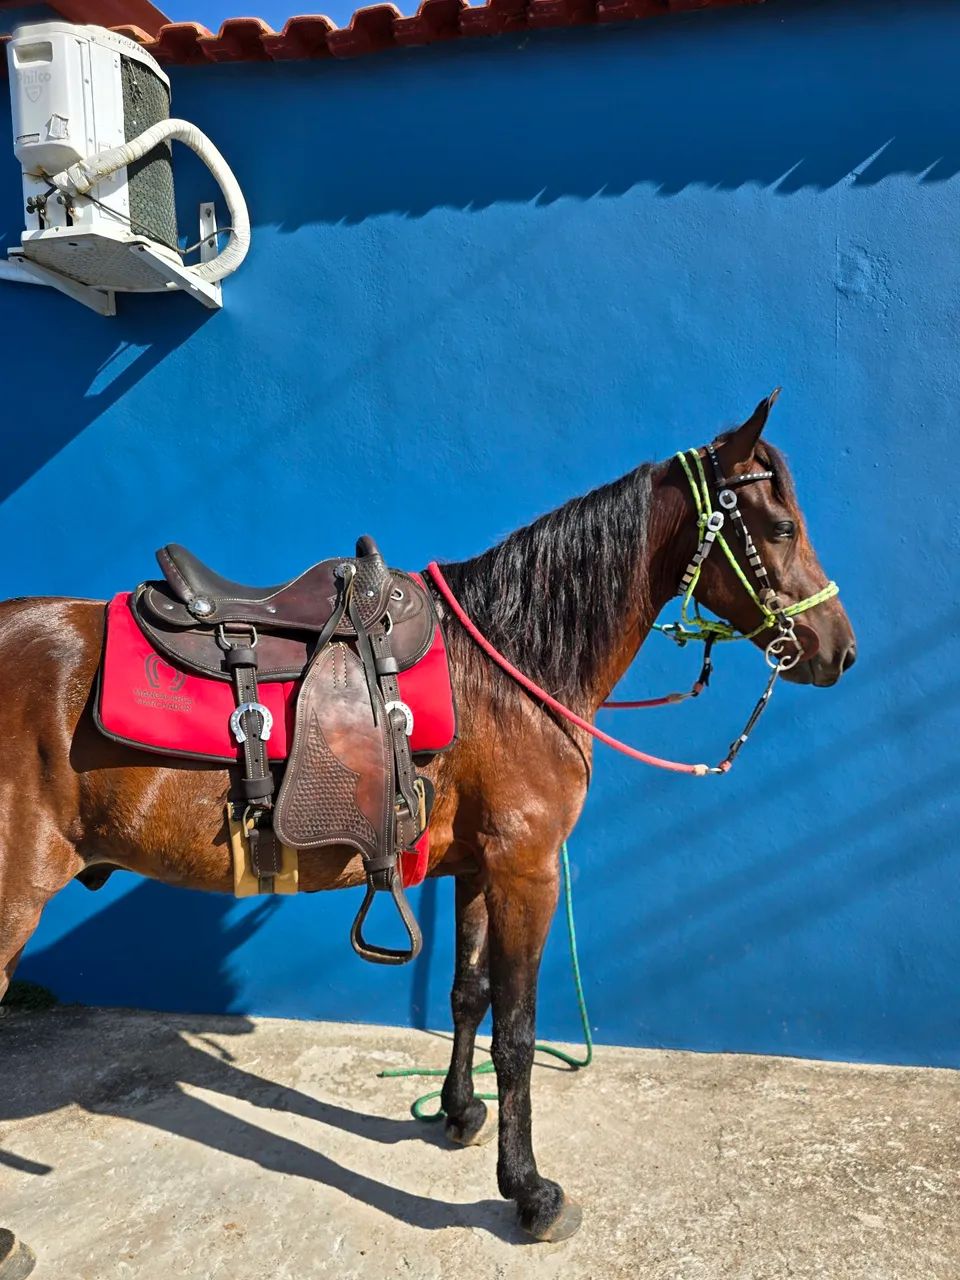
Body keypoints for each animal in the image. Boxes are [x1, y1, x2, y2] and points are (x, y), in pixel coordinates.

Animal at [0, 393, 855, 1242]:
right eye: (782, 528)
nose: (839, 650)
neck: (511, 666)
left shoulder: (475, 867)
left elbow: (467, 995)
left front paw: (458, 1112)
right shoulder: (526, 868)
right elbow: (517, 1032)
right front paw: (528, 1190)